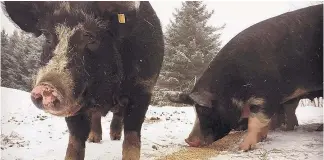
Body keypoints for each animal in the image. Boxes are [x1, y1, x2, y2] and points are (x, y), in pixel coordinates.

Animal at [2, 1, 165, 160]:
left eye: (91, 37)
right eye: (48, 37)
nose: (46, 87)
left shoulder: (143, 88)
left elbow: (132, 138)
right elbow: (75, 141)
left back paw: (115, 136)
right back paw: (94, 139)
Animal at [168, 4, 322, 151]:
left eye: (204, 110)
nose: (188, 141)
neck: (234, 86)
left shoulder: (266, 95)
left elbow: (256, 121)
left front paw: (243, 148)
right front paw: (262, 139)